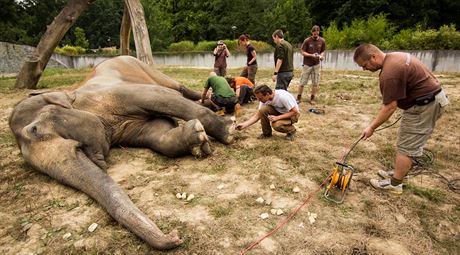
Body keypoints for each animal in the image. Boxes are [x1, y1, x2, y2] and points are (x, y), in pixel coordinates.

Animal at [9, 55, 235, 249]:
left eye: (35, 129)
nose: (175, 235)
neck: (73, 95)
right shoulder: (125, 129)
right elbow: (159, 134)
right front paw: (197, 139)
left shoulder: (114, 94)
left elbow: (162, 98)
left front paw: (229, 131)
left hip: (144, 67)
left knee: (178, 88)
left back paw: (217, 105)